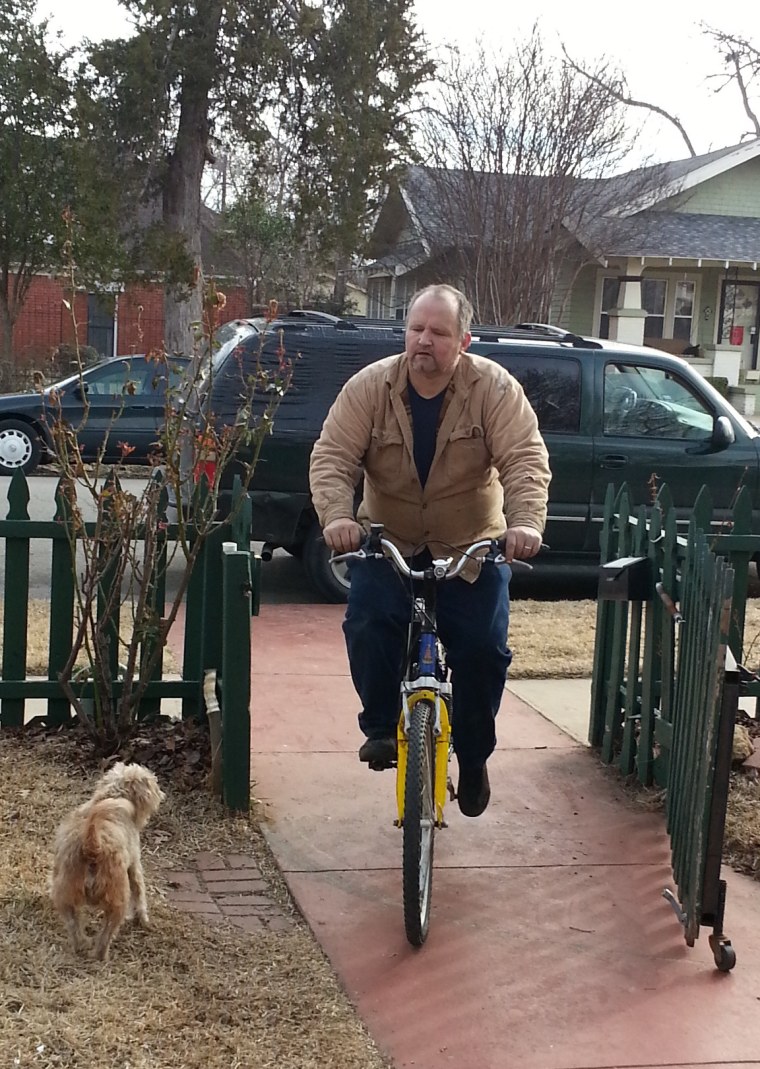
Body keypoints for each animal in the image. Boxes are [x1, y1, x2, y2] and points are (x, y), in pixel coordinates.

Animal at [50, 761, 164, 962]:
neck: (114, 796)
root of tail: (92, 846)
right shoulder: (134, 864)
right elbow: (139, 893)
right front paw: (143, 920)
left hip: (65, 894)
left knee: (74, 927)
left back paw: (82, 946)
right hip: (117, 899)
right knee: (106, 934)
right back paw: (102, 957)